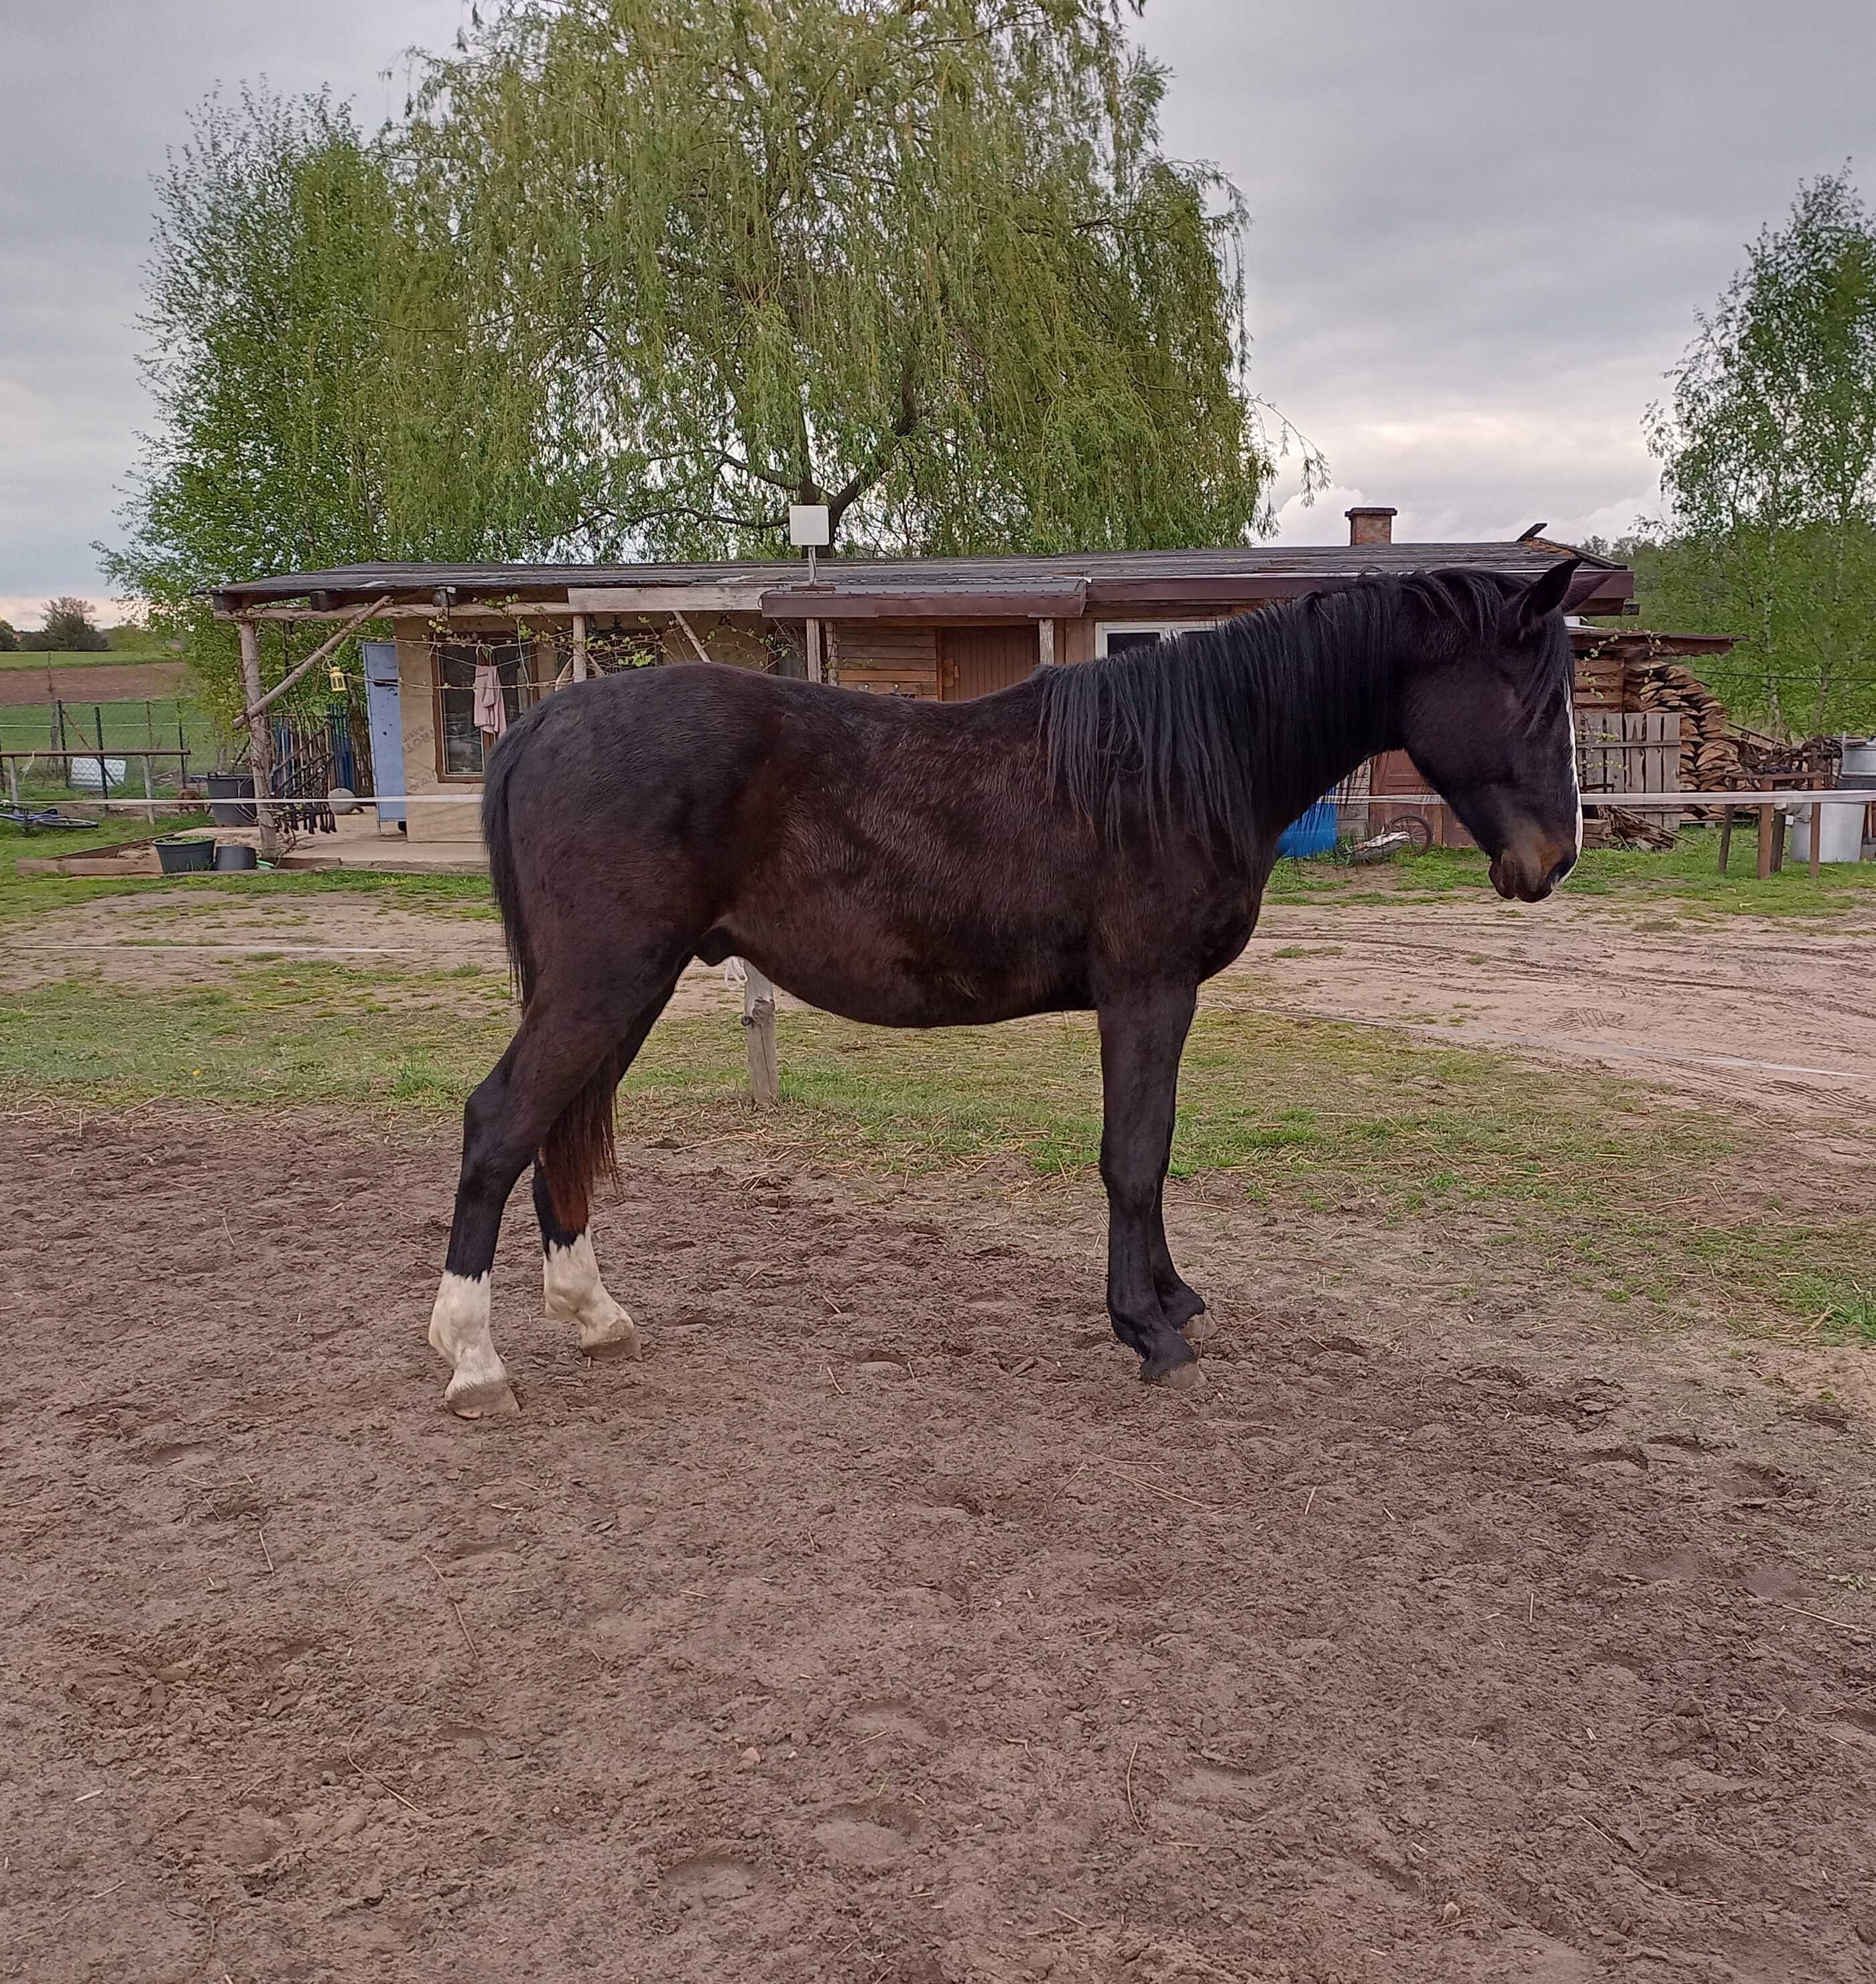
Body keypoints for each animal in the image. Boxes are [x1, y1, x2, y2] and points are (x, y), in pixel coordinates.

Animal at [428, 559, 1578, 1412]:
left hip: (628, 990)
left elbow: (1153, 1153)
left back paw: (595, 1318)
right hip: (603, 985)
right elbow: (1132, 1157)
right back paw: (474, 1360)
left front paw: (1171, 1300)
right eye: (1528, 698)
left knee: (558, 1133)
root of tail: (539, 725)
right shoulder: (1147, 991)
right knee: (500, 1124)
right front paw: (1146, 1329)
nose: (1550, 862)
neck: (1175, 768)